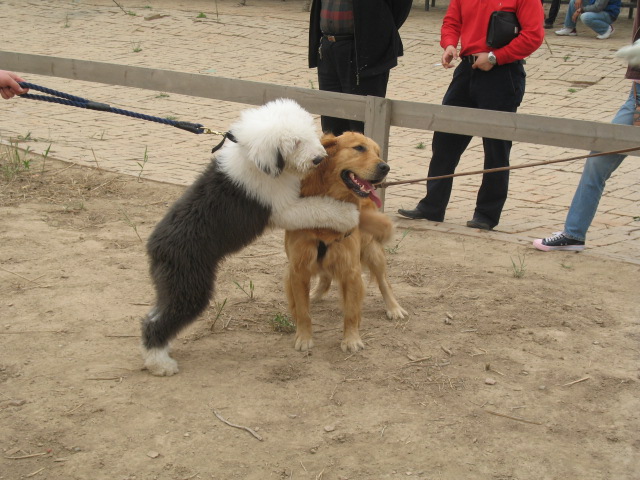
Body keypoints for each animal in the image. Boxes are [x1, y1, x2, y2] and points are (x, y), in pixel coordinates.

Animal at [142, 97, 358, 376]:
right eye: (295, 143)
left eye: (310, 134)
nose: (319, 158)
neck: (254, 159)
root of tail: (155, 245)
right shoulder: (284, 209)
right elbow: (318, 207)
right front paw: (348, 214)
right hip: (189, 284)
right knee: (158, 322)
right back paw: (160, 363)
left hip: (173, 284)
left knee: (153, 315)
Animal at [284, 131, 404, 352]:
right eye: (359, 148)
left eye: (377, 152)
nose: (386, 167)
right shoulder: (298, 269)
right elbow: (303, 312)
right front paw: (304, 337)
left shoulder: (351, 270)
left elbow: (351, 312)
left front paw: (351, 339)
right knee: (324, 278)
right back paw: (314, 294)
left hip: (372, 251)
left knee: (384, 282)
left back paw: (394, 308)